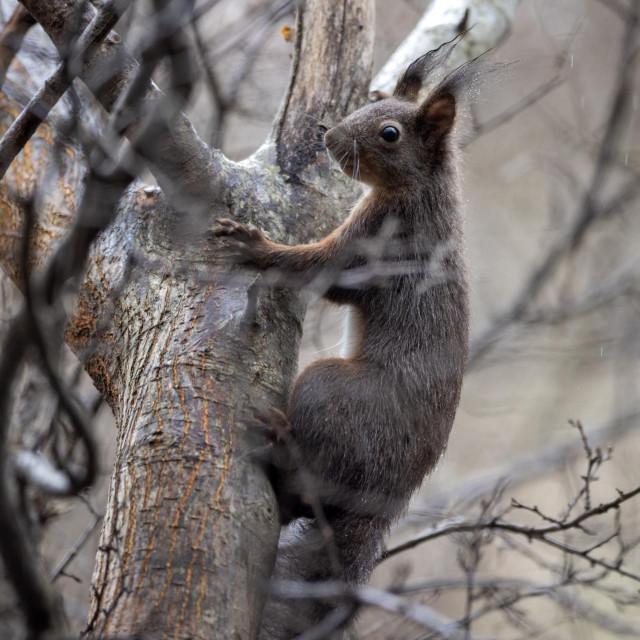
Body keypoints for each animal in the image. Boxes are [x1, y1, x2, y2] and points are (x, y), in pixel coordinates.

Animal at [215, 37, 490, 640]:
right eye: (371, 101)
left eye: (390, 133)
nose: (328, 136)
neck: (424, 191)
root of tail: (385, 503)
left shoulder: (376, 238)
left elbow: (316, 267)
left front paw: (257, 246)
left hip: (329, 390)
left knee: (309, 486)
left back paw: (279, 438)